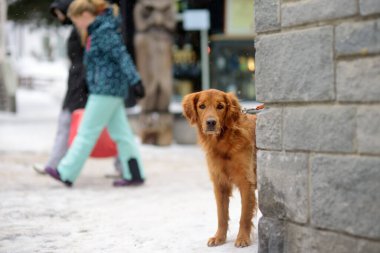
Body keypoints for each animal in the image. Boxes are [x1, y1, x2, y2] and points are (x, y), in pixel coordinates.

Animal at [182, 88, 258, 247]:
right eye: (202, 106)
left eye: (220, 106)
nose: (211, 122)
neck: (225, 143)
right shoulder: (220, 183)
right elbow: (221, 215)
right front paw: (219, 237)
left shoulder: (246, 182)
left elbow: (244, 215)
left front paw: (242, 238)